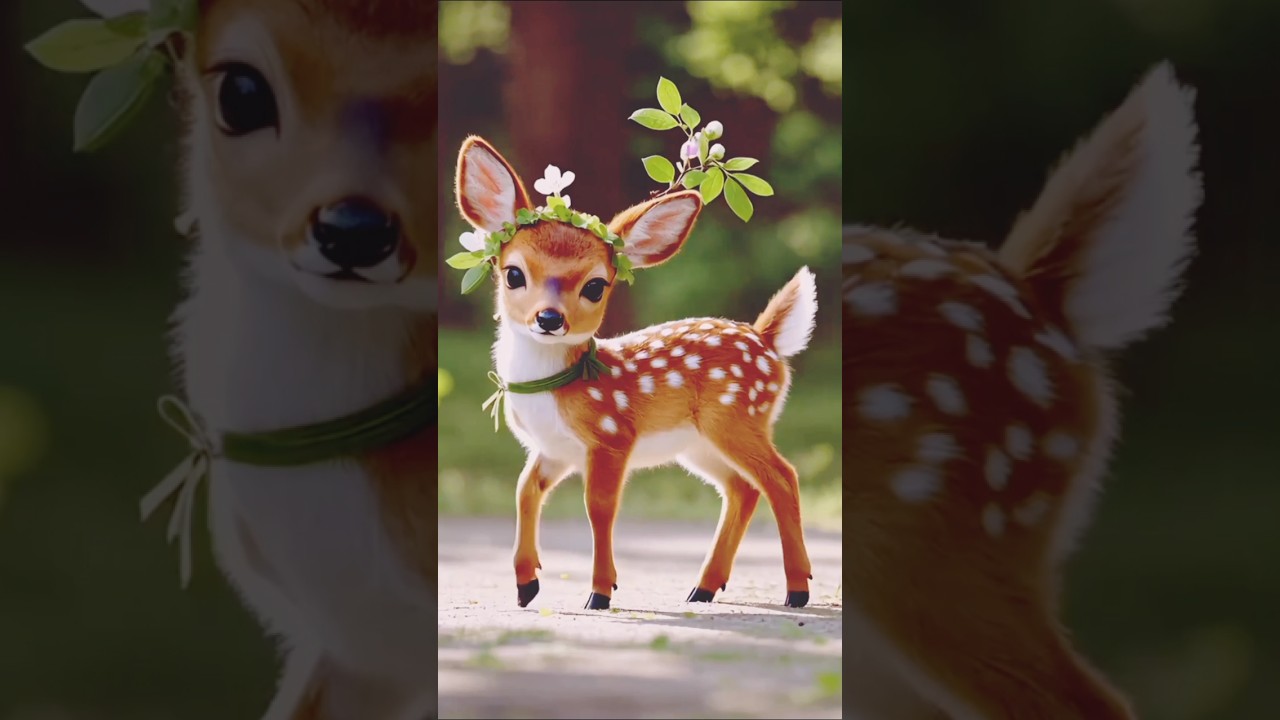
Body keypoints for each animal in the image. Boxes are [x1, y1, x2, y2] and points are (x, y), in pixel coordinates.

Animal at [453, 135, 819, 611]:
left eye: (595, 286)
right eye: (513, 273)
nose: (549, 318)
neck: (555, 392)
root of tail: (767, 338)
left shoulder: (612, 437)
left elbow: (599, 507)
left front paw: (599, 592)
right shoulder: (553, 450)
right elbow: (524, 491)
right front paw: (525, 586)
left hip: (737, 418)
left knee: (782, 477)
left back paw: (797, 590)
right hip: (698, 444)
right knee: (743, 488)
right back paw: (703, 588)